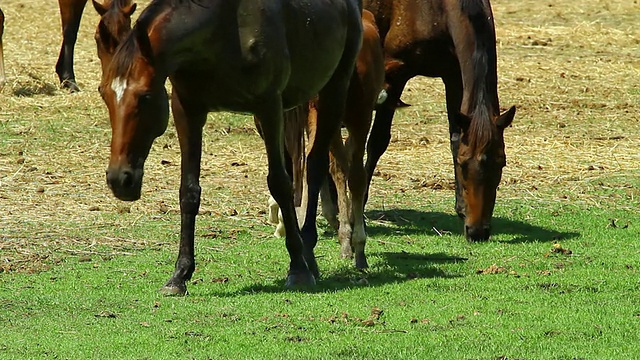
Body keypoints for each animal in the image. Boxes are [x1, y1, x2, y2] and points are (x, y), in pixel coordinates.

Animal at [97, 0, 362, 296]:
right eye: (103, 92)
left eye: (144, 97)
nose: (119, 180)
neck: (223, 30)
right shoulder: (187, 110)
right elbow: (189, 191)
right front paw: (180, 275)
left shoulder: (269, 106)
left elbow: (280, 184)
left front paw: (298, 270)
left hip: (333, 91)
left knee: (314, 166)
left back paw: (307, 250)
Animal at [362, 0, 516, 243]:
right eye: (463, 165)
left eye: (501, 163)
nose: (477, 232)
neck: (435, 10)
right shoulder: (396, 75)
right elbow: (377, 142)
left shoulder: (453, 74)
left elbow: (456, 137)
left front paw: (461, 208)